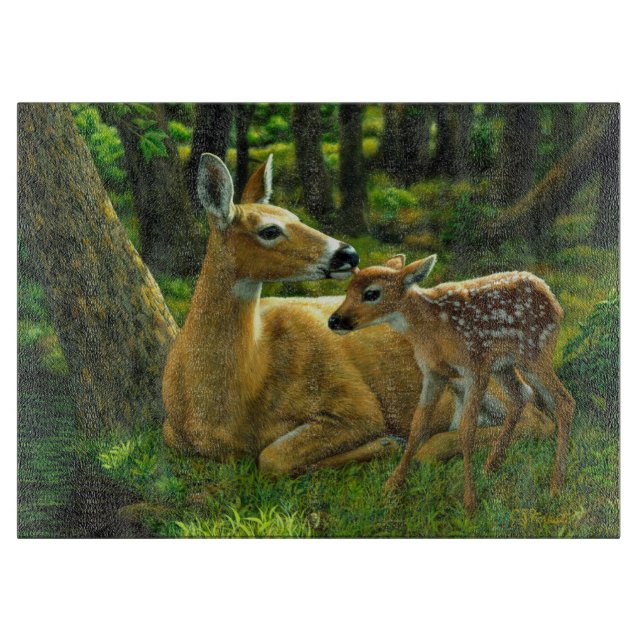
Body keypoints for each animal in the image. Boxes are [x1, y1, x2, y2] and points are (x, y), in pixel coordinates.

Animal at [162, 154, 554, 478]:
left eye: (296, 217)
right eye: (270, 230)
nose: (348, 253)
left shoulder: (355, 403)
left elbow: (271, 457)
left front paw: (384, 443)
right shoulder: (171, 434)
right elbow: (270, 456)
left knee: (535, 419)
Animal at [329, 254, 575, 514]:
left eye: (372, 293)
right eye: (347, 290)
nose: (334, 321)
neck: (431, 329)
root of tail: (552, 297)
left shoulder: (474, 368)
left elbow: (467, 430)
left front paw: (470, 502)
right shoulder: (433, 373)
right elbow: (417, 426)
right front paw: (392, 485)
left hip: (535, 351)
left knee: (563, 400)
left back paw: (556, 485)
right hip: (503, 364)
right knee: (520, 395)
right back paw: (491, 466)